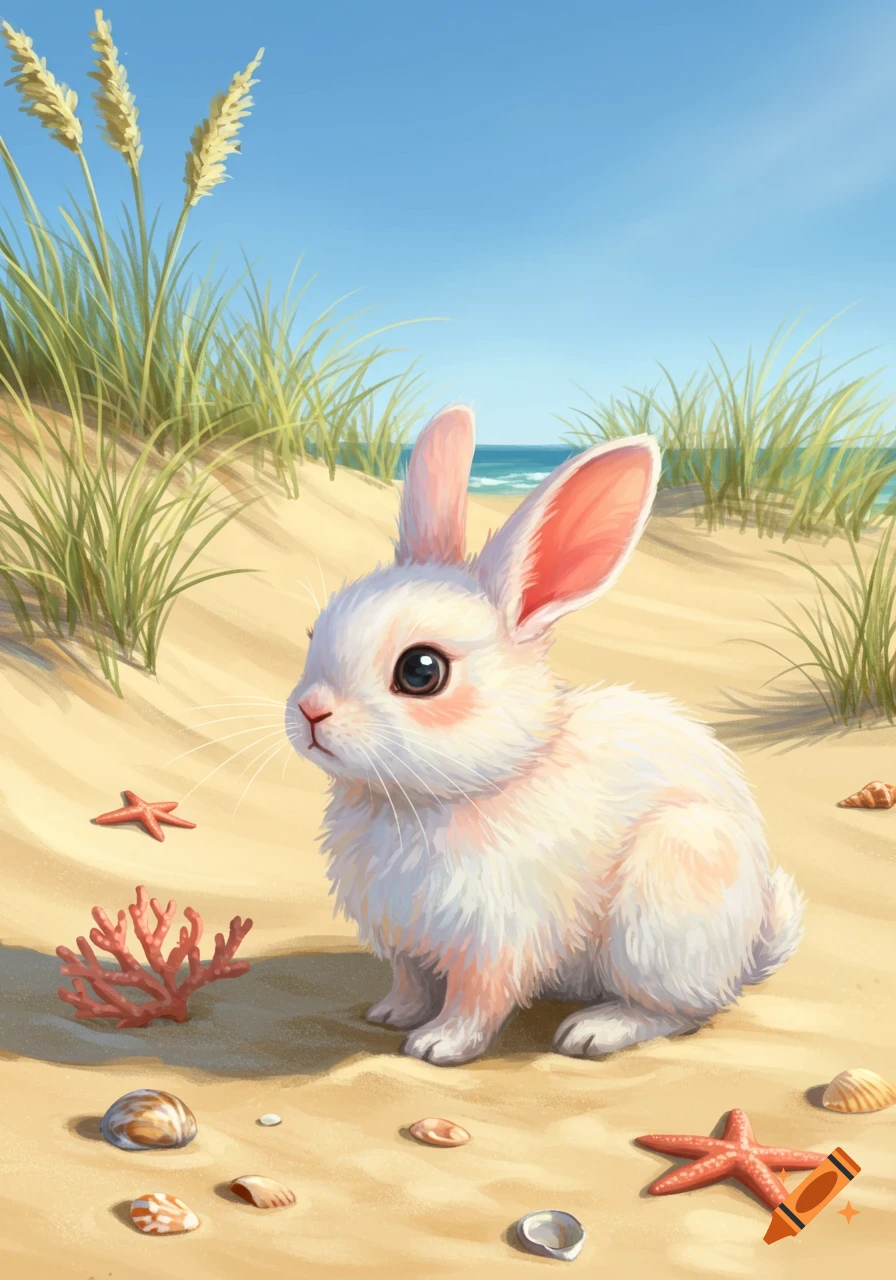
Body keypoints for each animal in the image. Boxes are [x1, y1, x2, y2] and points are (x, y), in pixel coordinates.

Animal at [285, 404, 805, 1066]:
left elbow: (476, 999)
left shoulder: (496, 937)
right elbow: (411, 979)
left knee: (682, 1011)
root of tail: (750, 952)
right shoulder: (405, 939)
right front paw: (390, 1015)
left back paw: (594, 1031)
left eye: (421, 671)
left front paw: (438, 1045)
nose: (310, 712)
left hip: (665, 906)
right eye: (313, 632)